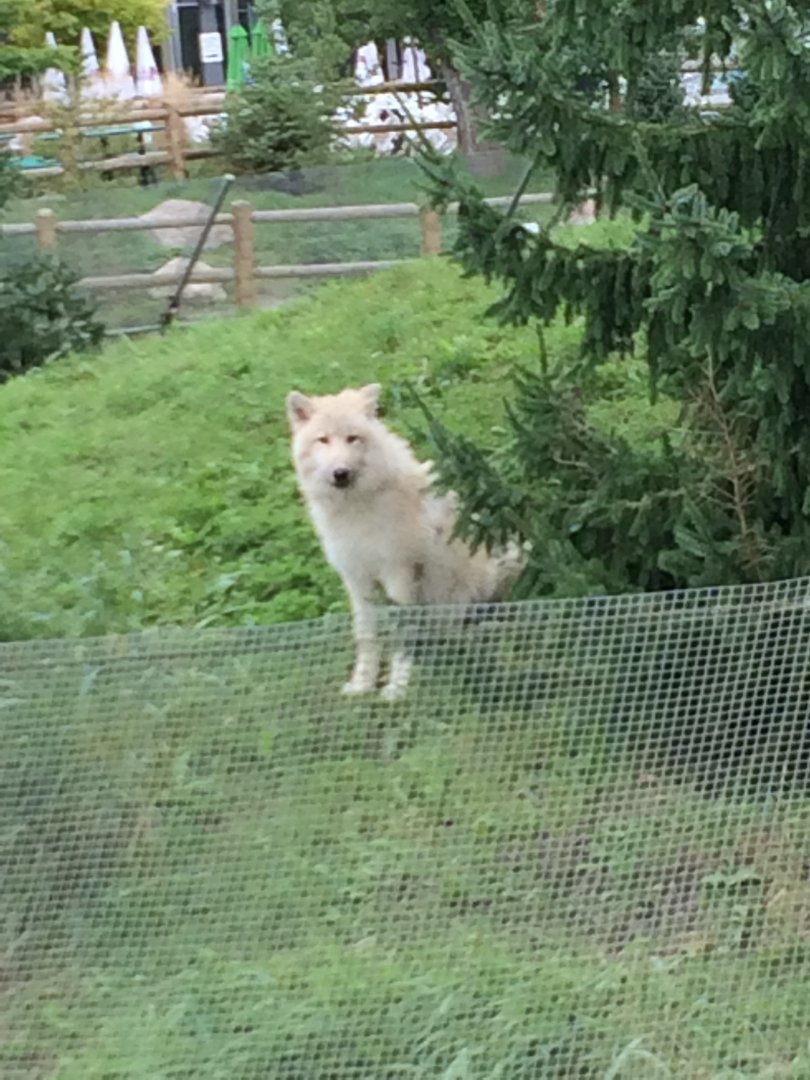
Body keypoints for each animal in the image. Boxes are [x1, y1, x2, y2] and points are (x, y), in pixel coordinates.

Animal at [286, 383, 524, 701]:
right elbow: (366, 634)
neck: (358, 509)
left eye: (352, 438)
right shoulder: (356, 578)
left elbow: (402, 632)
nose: (340, 473)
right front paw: (362, 684)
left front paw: (397, 687)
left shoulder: (399, 575)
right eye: (323, 440)